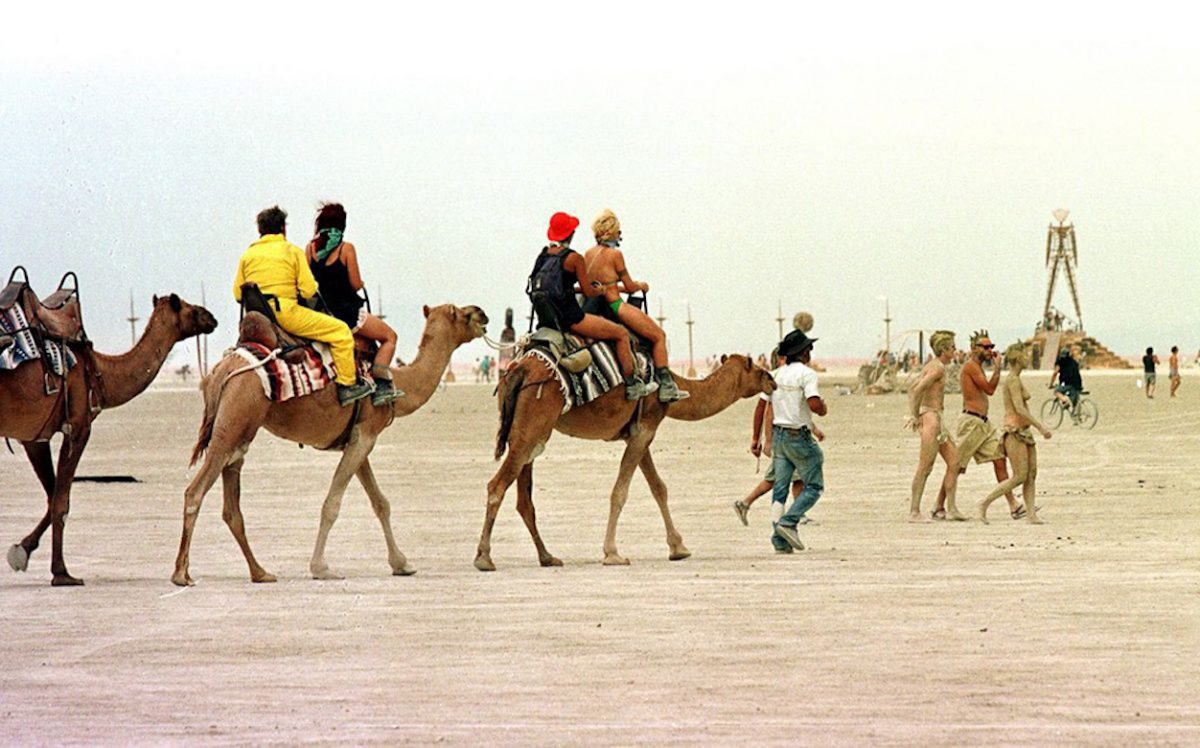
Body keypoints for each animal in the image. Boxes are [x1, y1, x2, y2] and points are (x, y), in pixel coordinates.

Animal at [2, 292, 217, 585]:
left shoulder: (35, 435)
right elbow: (61, 500)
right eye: (190, 309)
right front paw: (62, 573)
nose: (212, 318)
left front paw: (21, 551)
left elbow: (52, 495)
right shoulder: (78, 427)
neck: (101, 370)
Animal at [170, 302, 487, 585]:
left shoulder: (359, 439)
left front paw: (402, 564)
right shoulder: (365, 437)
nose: (482, 313)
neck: (398, 381)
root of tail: (220, 371)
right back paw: (182, 574)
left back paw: (260, 572)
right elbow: (332, 503)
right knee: (195, 492)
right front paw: (321, 568)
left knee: (231, 506)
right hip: (233, 422)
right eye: (461, 313)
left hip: (239, 430)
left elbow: (380, 502)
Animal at [472, 352, 772, 571]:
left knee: (524, 499)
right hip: (533, 425)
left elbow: (659, 488)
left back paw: (547, 556)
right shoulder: (645, 429)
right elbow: (620, 492)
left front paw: (678, 548)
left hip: (529, 433)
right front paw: (613, 553)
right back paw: (484, 558)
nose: (772, 380)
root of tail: (518, 371)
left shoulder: (639, 432)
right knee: (497, 486)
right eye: (758, 370)